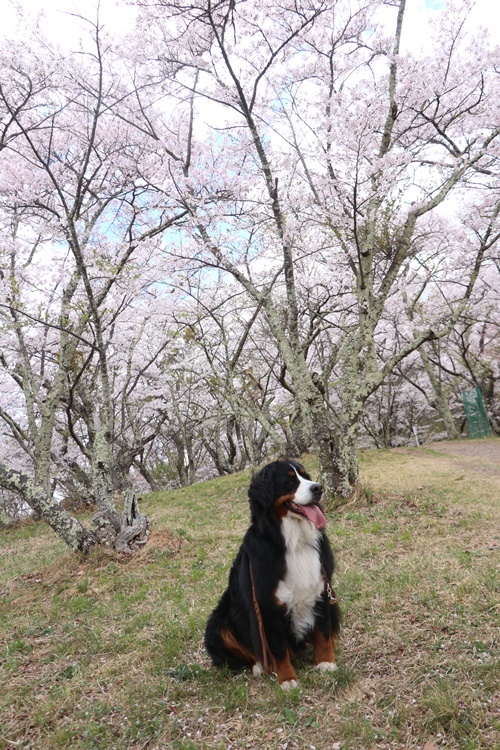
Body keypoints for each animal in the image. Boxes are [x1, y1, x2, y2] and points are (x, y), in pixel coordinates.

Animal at [203, 456, 340, 692]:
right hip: (218, 623)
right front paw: (287, 679)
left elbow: (322, 632)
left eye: (306, 476)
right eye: (290, 481)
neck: (294, 543)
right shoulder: (267, 606)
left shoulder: (321, 589)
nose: (318, 488)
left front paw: (325, 662)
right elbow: (277, 649)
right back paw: (260, 666)